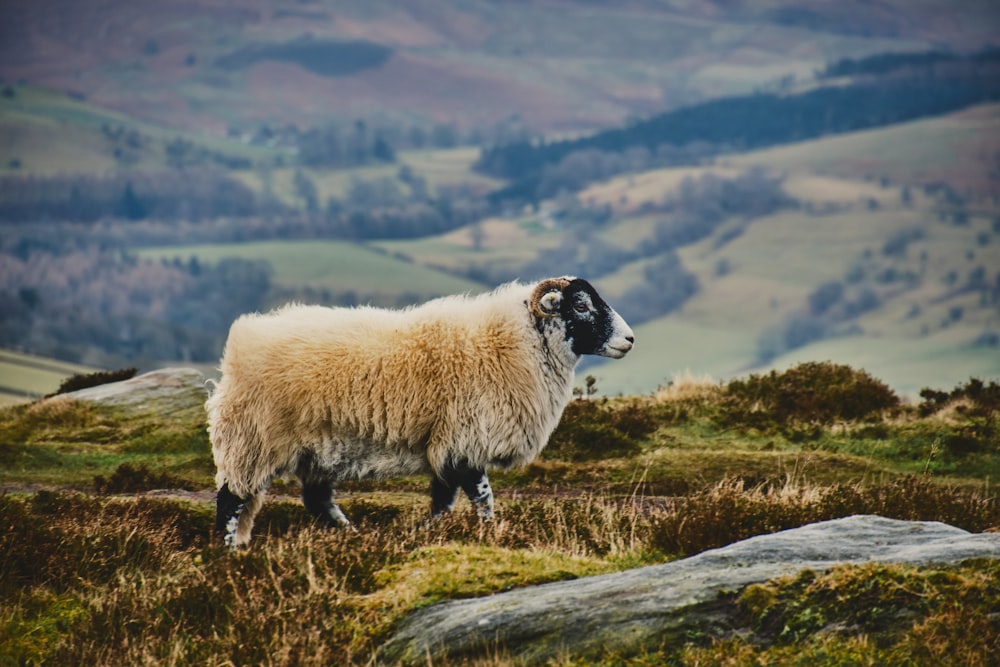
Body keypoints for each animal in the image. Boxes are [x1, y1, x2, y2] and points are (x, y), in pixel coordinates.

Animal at [207, 276, 636, 548]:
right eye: (581, 305)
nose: (630, 339)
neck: (514, 343)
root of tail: (239, 347)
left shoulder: (446, 445)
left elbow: (444, 500)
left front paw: (424, 532)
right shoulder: (466, 440)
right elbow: (481, 496)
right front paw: (488, 533)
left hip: (315, 450)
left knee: (316, 501)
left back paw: (351, 536)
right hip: (254, 441)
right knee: (232, 499)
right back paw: (228, 553)